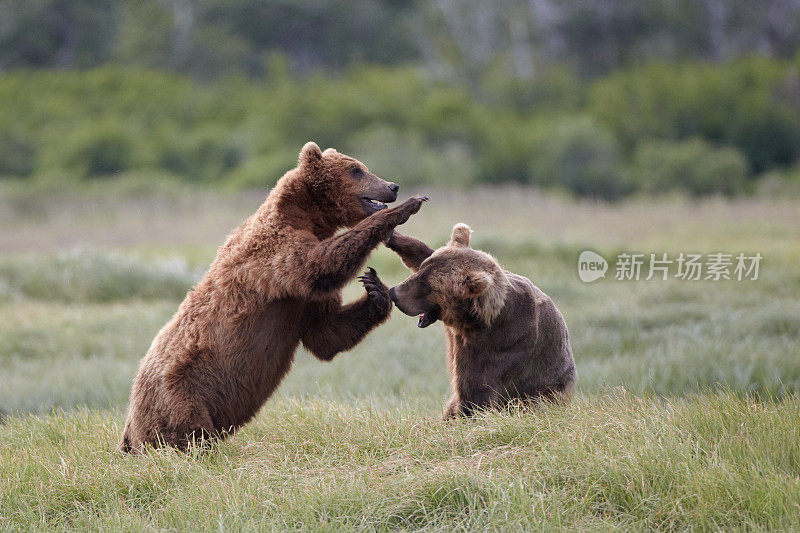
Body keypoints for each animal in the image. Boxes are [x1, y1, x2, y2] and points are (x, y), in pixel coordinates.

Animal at [119, 142, 428, 454]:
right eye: (356, 170)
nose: (393, 186)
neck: (306, 217)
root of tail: (129, 427)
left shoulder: (302, 300)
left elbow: (325, 333)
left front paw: (376, 289)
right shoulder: (274, 256)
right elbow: (318, 265)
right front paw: (405, 208)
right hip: (181, 392)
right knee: (187, 433)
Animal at [388, 222, 576, 418]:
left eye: (429, 285)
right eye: (422, 272)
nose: (394, 293)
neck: (471, 322)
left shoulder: (500, 347)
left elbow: (474, 394)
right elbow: (422, 252)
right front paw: (391, 233)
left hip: (545, 391)